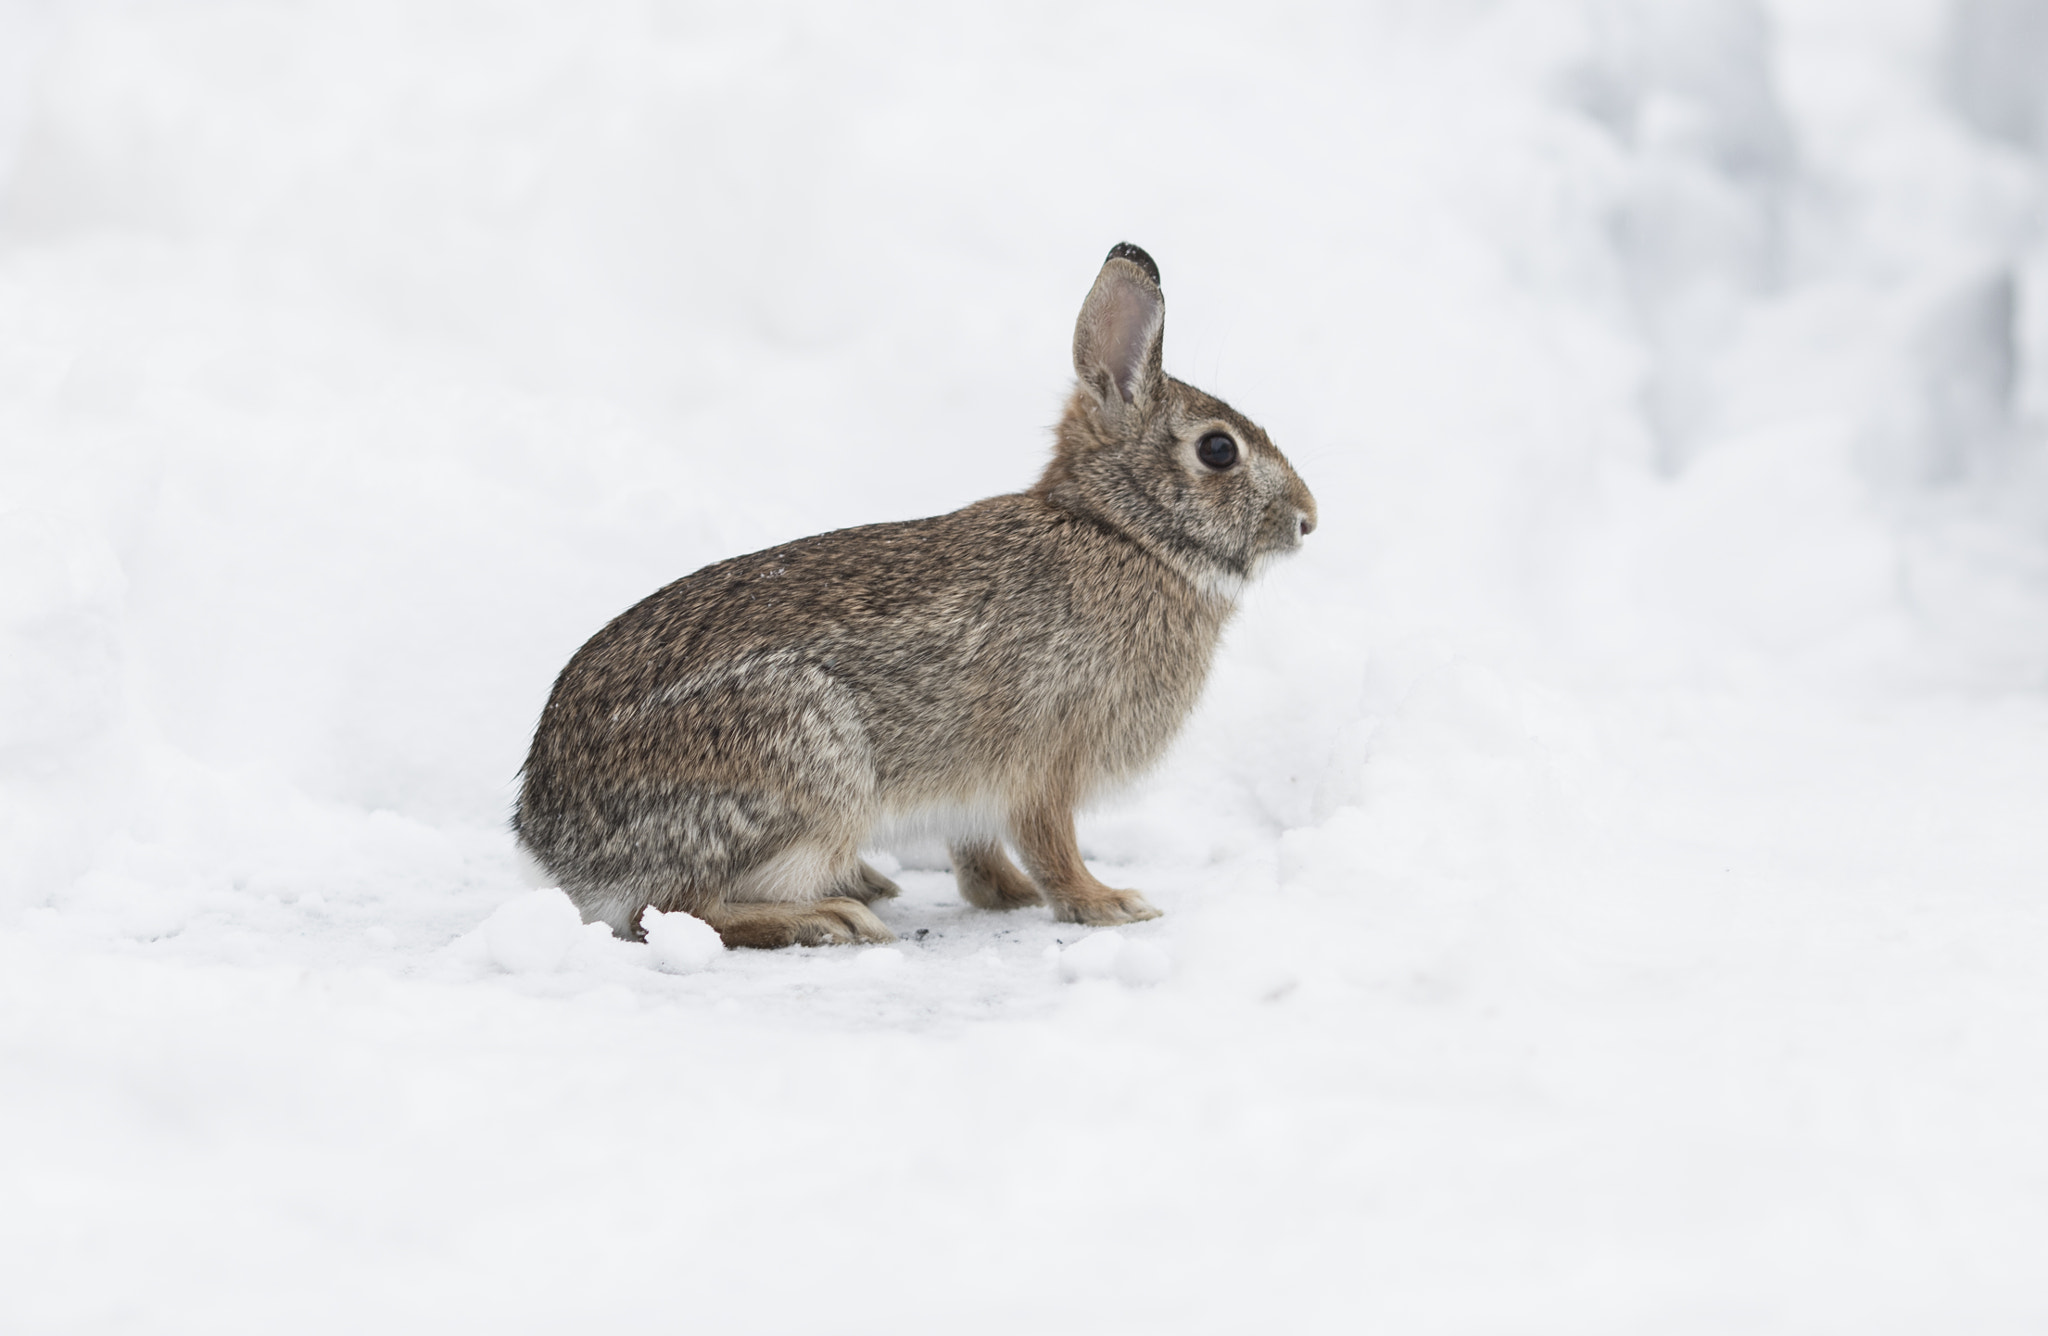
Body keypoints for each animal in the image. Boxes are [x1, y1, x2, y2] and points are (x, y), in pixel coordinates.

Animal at [507, 242, 1310, 950]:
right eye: (1218, 450)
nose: (1308, 519)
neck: (1122, 533)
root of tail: (554, 840)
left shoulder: (981, 791)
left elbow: (979, 855)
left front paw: (1009, 895)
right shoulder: (1047, 760)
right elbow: (1053, 846)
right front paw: (1108, 904)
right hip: (807, 769)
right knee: (672, 911)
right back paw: (829, 918)